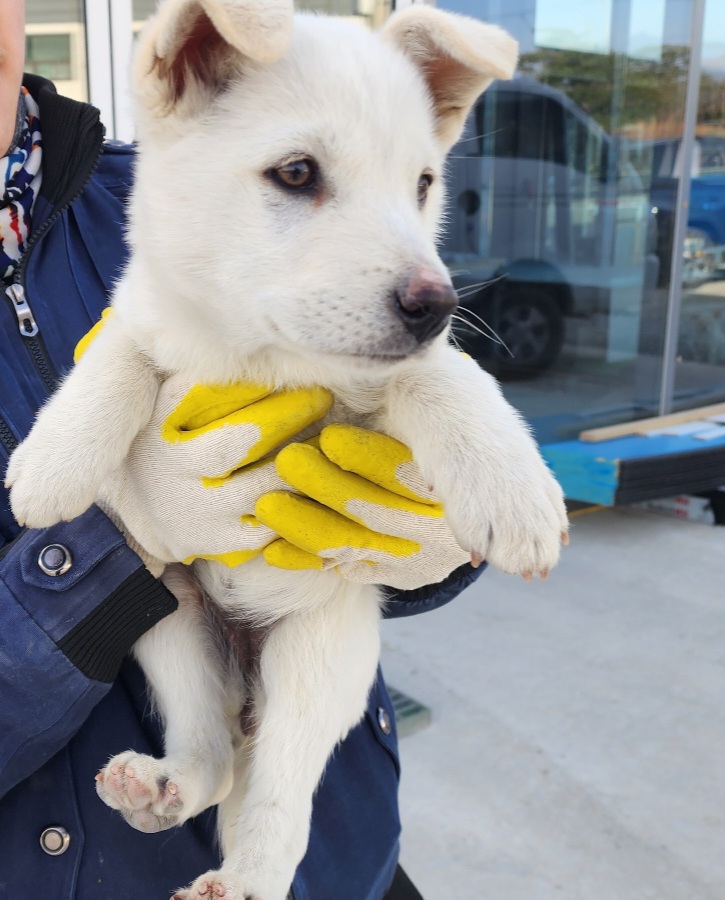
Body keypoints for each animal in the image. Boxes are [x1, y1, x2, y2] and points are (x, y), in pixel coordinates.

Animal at [8, 3, 568, 896]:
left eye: (422, 184)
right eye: (298, 173)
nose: (437, 304)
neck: (260, 356)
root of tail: (249, 668)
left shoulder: (384, 385)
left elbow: (440, 376)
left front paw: (509, 487)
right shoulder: (148, 315)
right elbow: (119, 351)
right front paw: (56, 455)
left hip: (316, 658)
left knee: (276, 797)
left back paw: (243, 877)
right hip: (169, 622)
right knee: (215, 757)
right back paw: (164, 787)